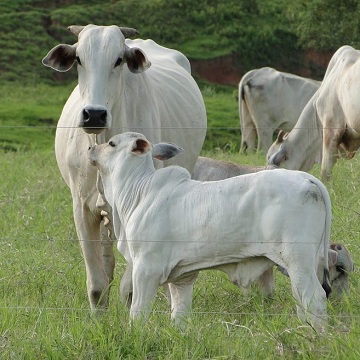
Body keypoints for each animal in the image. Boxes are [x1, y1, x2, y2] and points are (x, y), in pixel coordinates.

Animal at [41, 24, 207, 310]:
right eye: (78, 59)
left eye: (118, 60)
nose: (94, 115)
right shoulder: (82, 208)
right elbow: (97, 285)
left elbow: (130, 289)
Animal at [88, 131, 334, 332]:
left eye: (111, 143)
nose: (90, 148)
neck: (138, 192)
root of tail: (306, 178)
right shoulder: (182, 277)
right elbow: (179, 315)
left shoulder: (146, 269)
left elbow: (138, 313)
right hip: (303, 263)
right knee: (301, 301)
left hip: (298, 259)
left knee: (315, 298)